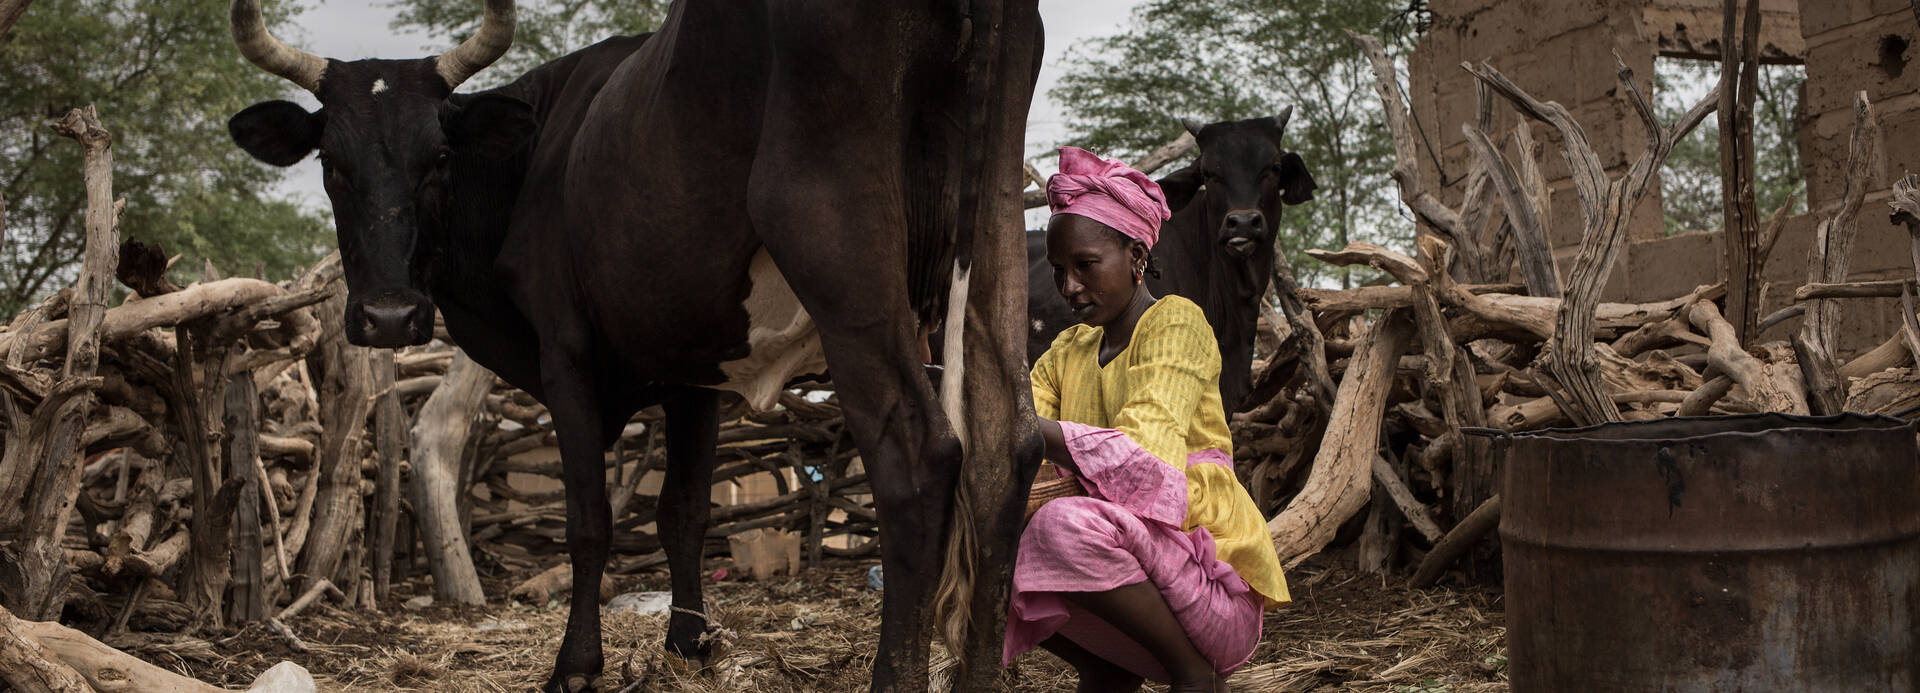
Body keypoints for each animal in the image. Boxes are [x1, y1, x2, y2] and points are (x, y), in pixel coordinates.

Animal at [224, 1, 1044, 691]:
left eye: (440, 158)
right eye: (332, 162)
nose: (389, 316)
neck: (534, 163)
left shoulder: (567, 357)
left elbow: (590, 520)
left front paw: (577, 664)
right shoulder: (696, 373)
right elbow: (682, 512)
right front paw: (689, 644)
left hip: (835, 239)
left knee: (919, 456)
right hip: (996, 227)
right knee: (1008, 447)